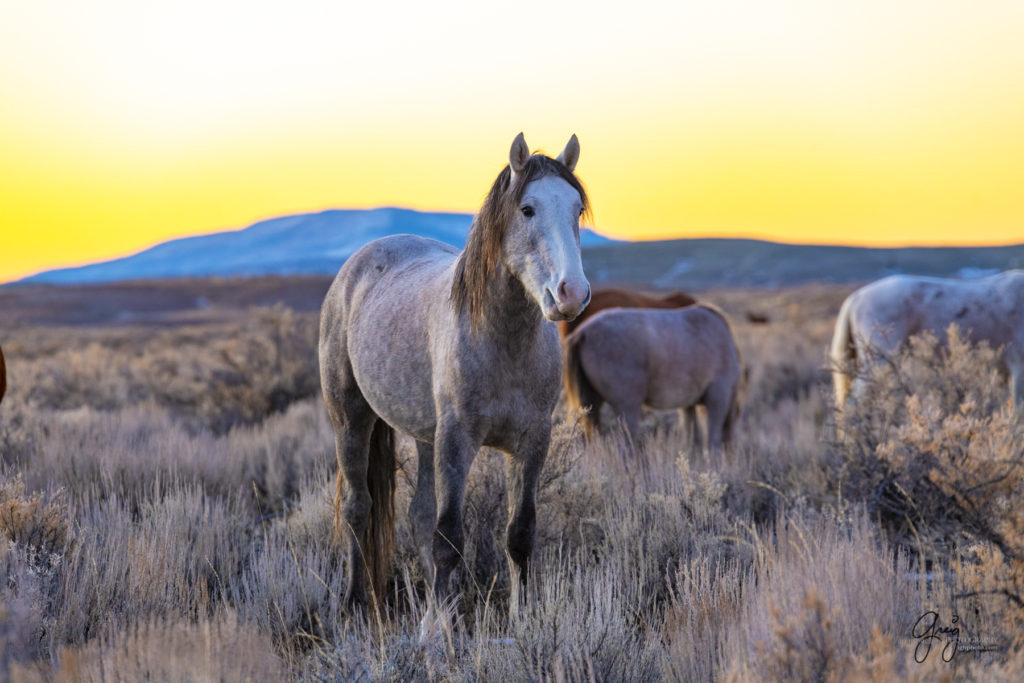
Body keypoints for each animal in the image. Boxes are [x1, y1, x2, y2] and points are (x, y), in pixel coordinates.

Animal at [319, 132, 593, 610]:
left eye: (577, 209)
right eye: (527, 209)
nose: (572, 293)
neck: (502, 344)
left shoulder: (532, 442)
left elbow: (519, 534)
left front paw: (520, 619)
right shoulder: (458, 440)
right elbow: (449, 539)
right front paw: (440, 629)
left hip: (425, 435)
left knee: (418, 514)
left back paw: (431, 602)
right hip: (351, 419)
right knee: (357, 507)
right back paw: (355, 602)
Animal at [561, 305, 745, 448]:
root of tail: (582, 333)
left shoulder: (688, 405)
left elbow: (692, 439)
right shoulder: (718, 398)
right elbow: (713, 440)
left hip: (592, 403)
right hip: (628, 407)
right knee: (625, 446)